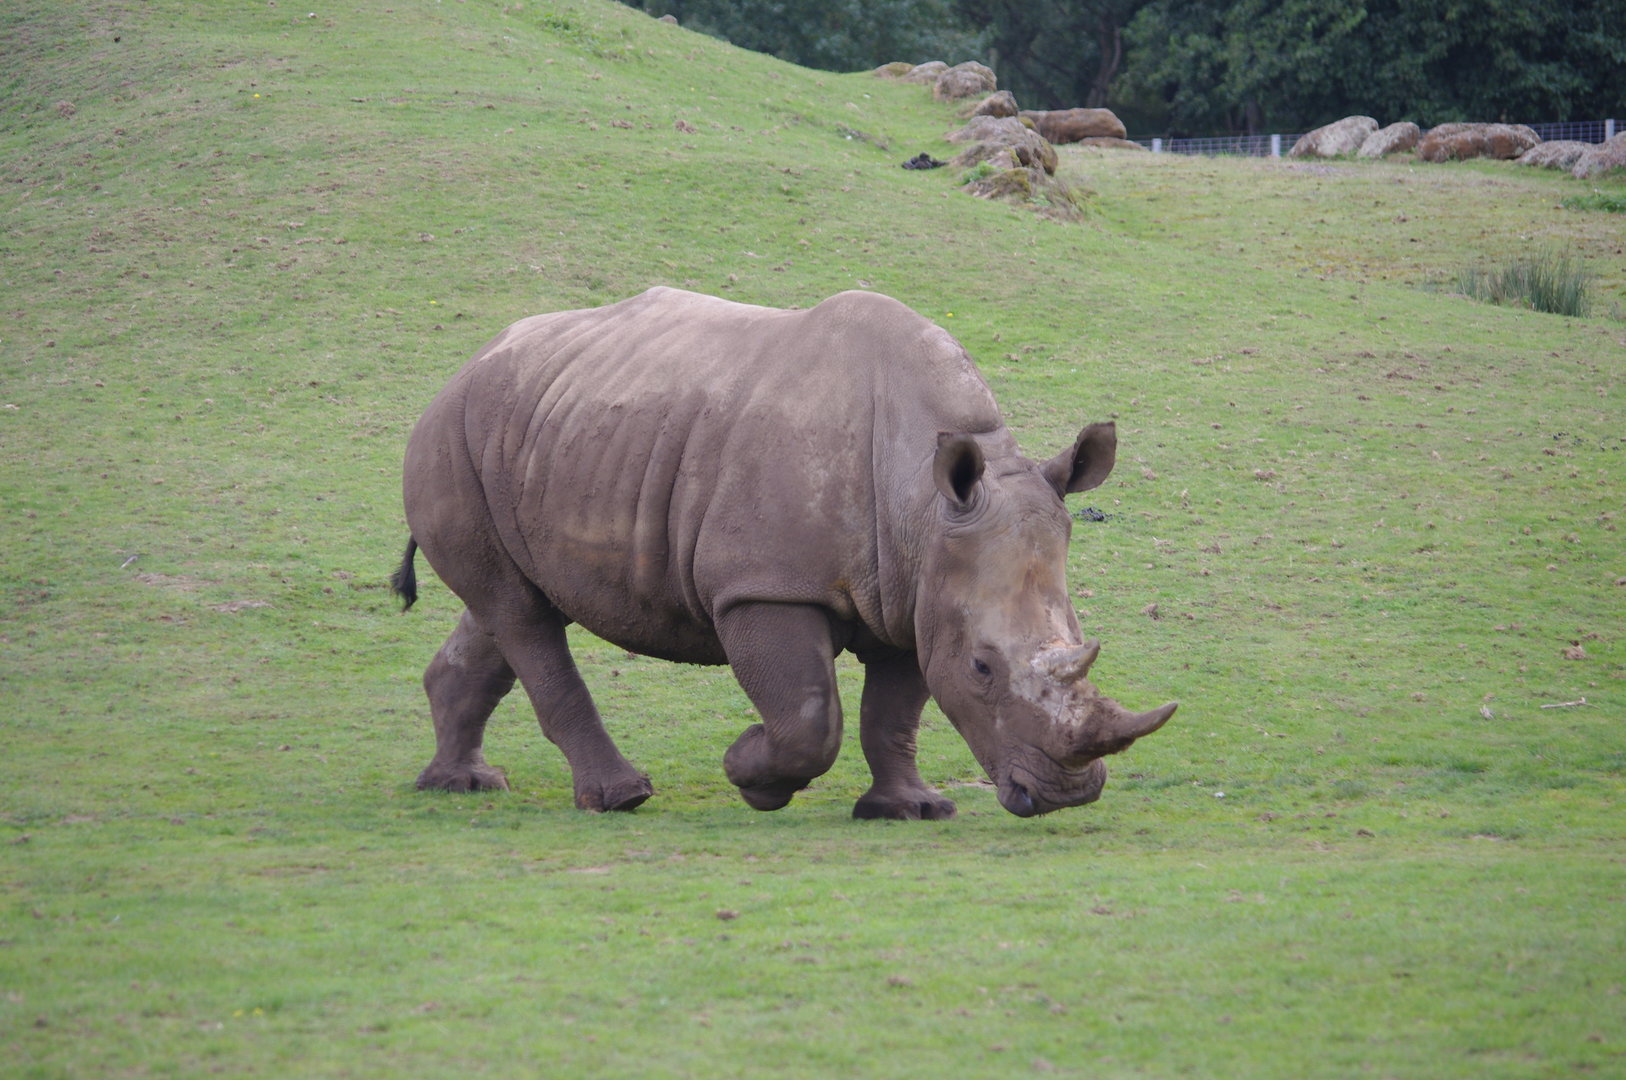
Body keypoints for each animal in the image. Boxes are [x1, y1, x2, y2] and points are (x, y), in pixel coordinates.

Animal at [391, 287, 1176, 818]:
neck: (922, 505)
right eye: (984, 668)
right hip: (453, 433)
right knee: (521, 616)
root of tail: (465, 365)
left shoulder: (916, 593)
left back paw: (459, 785)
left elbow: (894, 712)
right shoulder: (764, 584)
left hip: (538, 431)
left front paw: (910, 809)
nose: (1066, 795)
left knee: (508, 608)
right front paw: (749, 773)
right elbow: (810, 715)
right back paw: (620, 799)